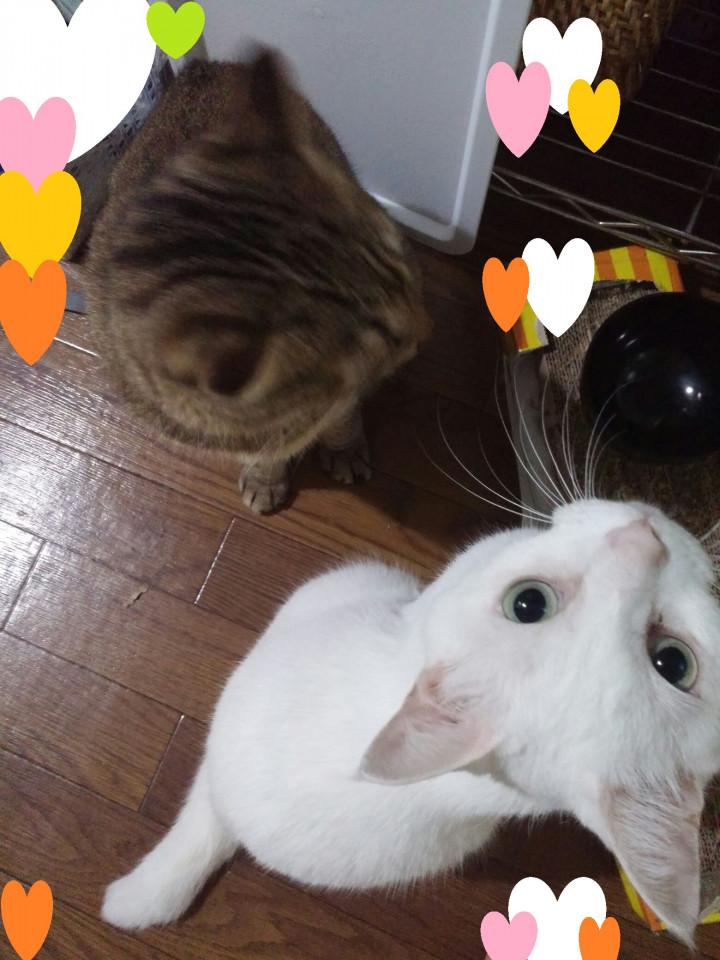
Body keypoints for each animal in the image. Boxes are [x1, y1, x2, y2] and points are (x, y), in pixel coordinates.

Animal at [85, 49, 430, 513]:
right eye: (387, 339)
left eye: (404, 269)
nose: (428, 331)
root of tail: (205, 67)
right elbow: (263, 450)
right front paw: (267, 476)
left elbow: (342, 418)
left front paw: (343, 447)